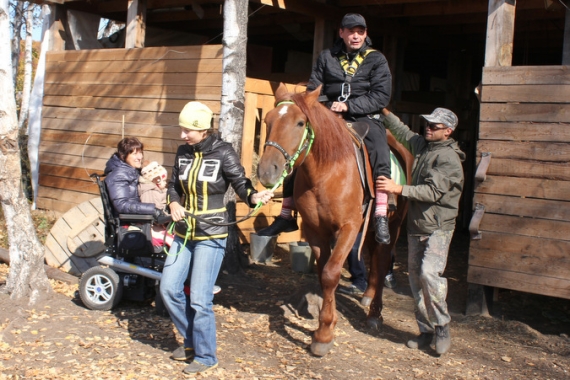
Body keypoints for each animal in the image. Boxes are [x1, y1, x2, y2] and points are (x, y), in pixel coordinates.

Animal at [255, 83, 410, 356]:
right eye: (268, 120)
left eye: (300, 123)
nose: (266, 171)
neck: (327, 172)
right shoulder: (315, 230)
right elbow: (323, 274)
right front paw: (326, 326)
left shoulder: (349, 228)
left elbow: (331, 273)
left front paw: (325, 333)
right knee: (375, 260)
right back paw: (368, 295)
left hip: (393, 225)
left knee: (382, 262)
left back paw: (375, 314)